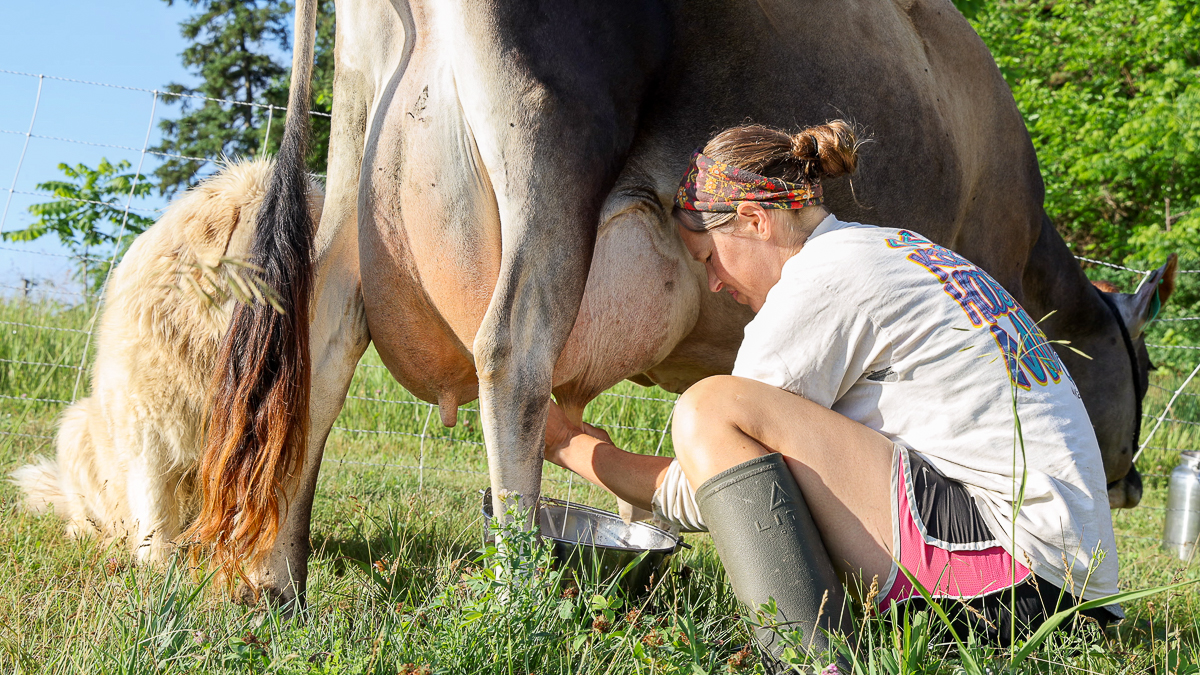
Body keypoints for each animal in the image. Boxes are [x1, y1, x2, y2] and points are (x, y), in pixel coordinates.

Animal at [189, 0, 1175, 607]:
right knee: (513, 347)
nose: (1129, 484)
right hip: (551, 150)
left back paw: (282, 584)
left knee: (324, 342)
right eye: (1146, 368)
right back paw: (518, 594)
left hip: (358, 169)